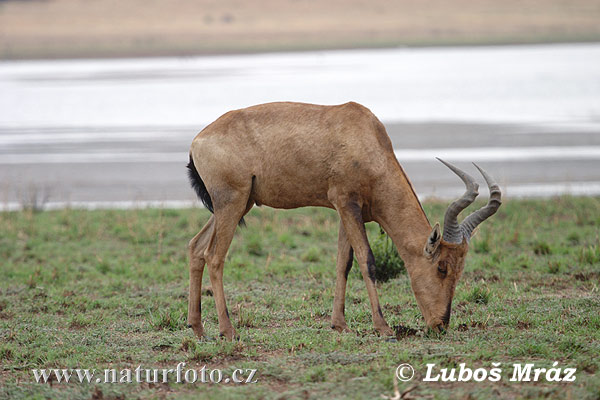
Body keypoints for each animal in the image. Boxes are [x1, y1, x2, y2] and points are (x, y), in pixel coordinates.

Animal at [186, 101, 502, 340]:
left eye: (460, 269)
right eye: (441, 267)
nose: (440, 325)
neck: (365, 135)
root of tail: (197, 141)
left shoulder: (345, 210)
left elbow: (343, 262)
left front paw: (339, 324)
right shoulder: (348, 203)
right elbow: (367, 260)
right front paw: (384, 328)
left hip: (238, 204)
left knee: (196, 247)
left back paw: (198, 329)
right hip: (232, 203)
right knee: (214, 256)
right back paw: (228, 331)